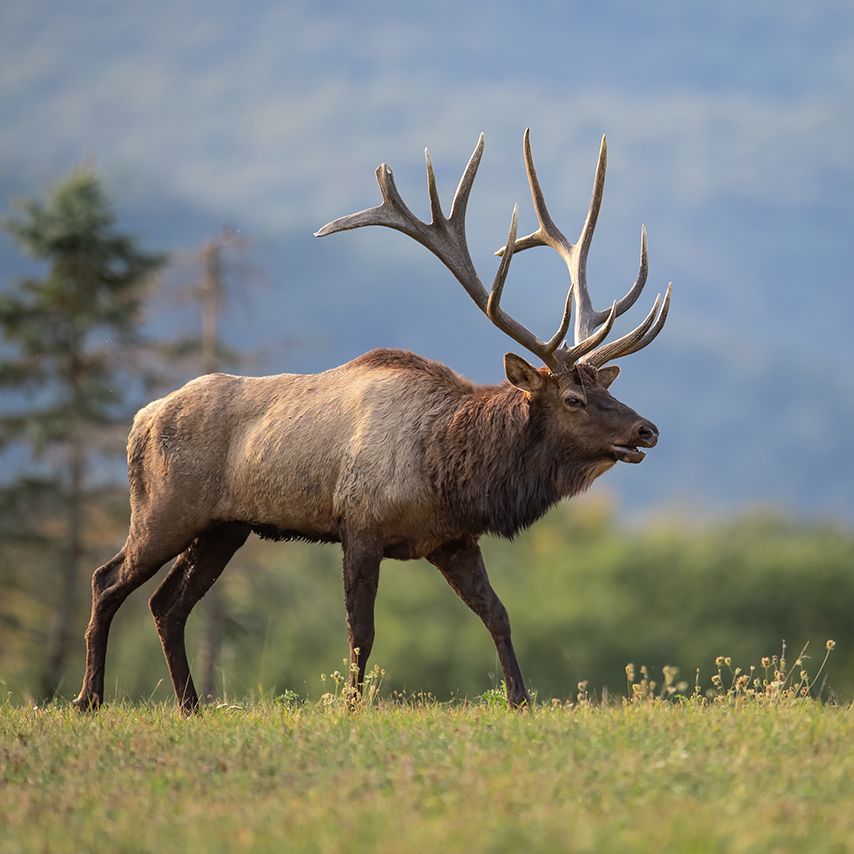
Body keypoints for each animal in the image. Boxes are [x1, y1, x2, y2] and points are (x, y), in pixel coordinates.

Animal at [73, 129, 670, 713]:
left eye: (605, 388)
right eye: (572, 398)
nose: (647, 430)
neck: (450, 467)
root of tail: (140, 420)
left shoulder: (452, 539)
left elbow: (498, 615)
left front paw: (522, 701)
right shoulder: (359, 525)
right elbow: (361, 631)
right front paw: (352, 706)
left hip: (224, 527)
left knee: (166, 604)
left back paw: (190, 704)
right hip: (163, 510)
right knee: (107, 580)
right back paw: (88, 698)